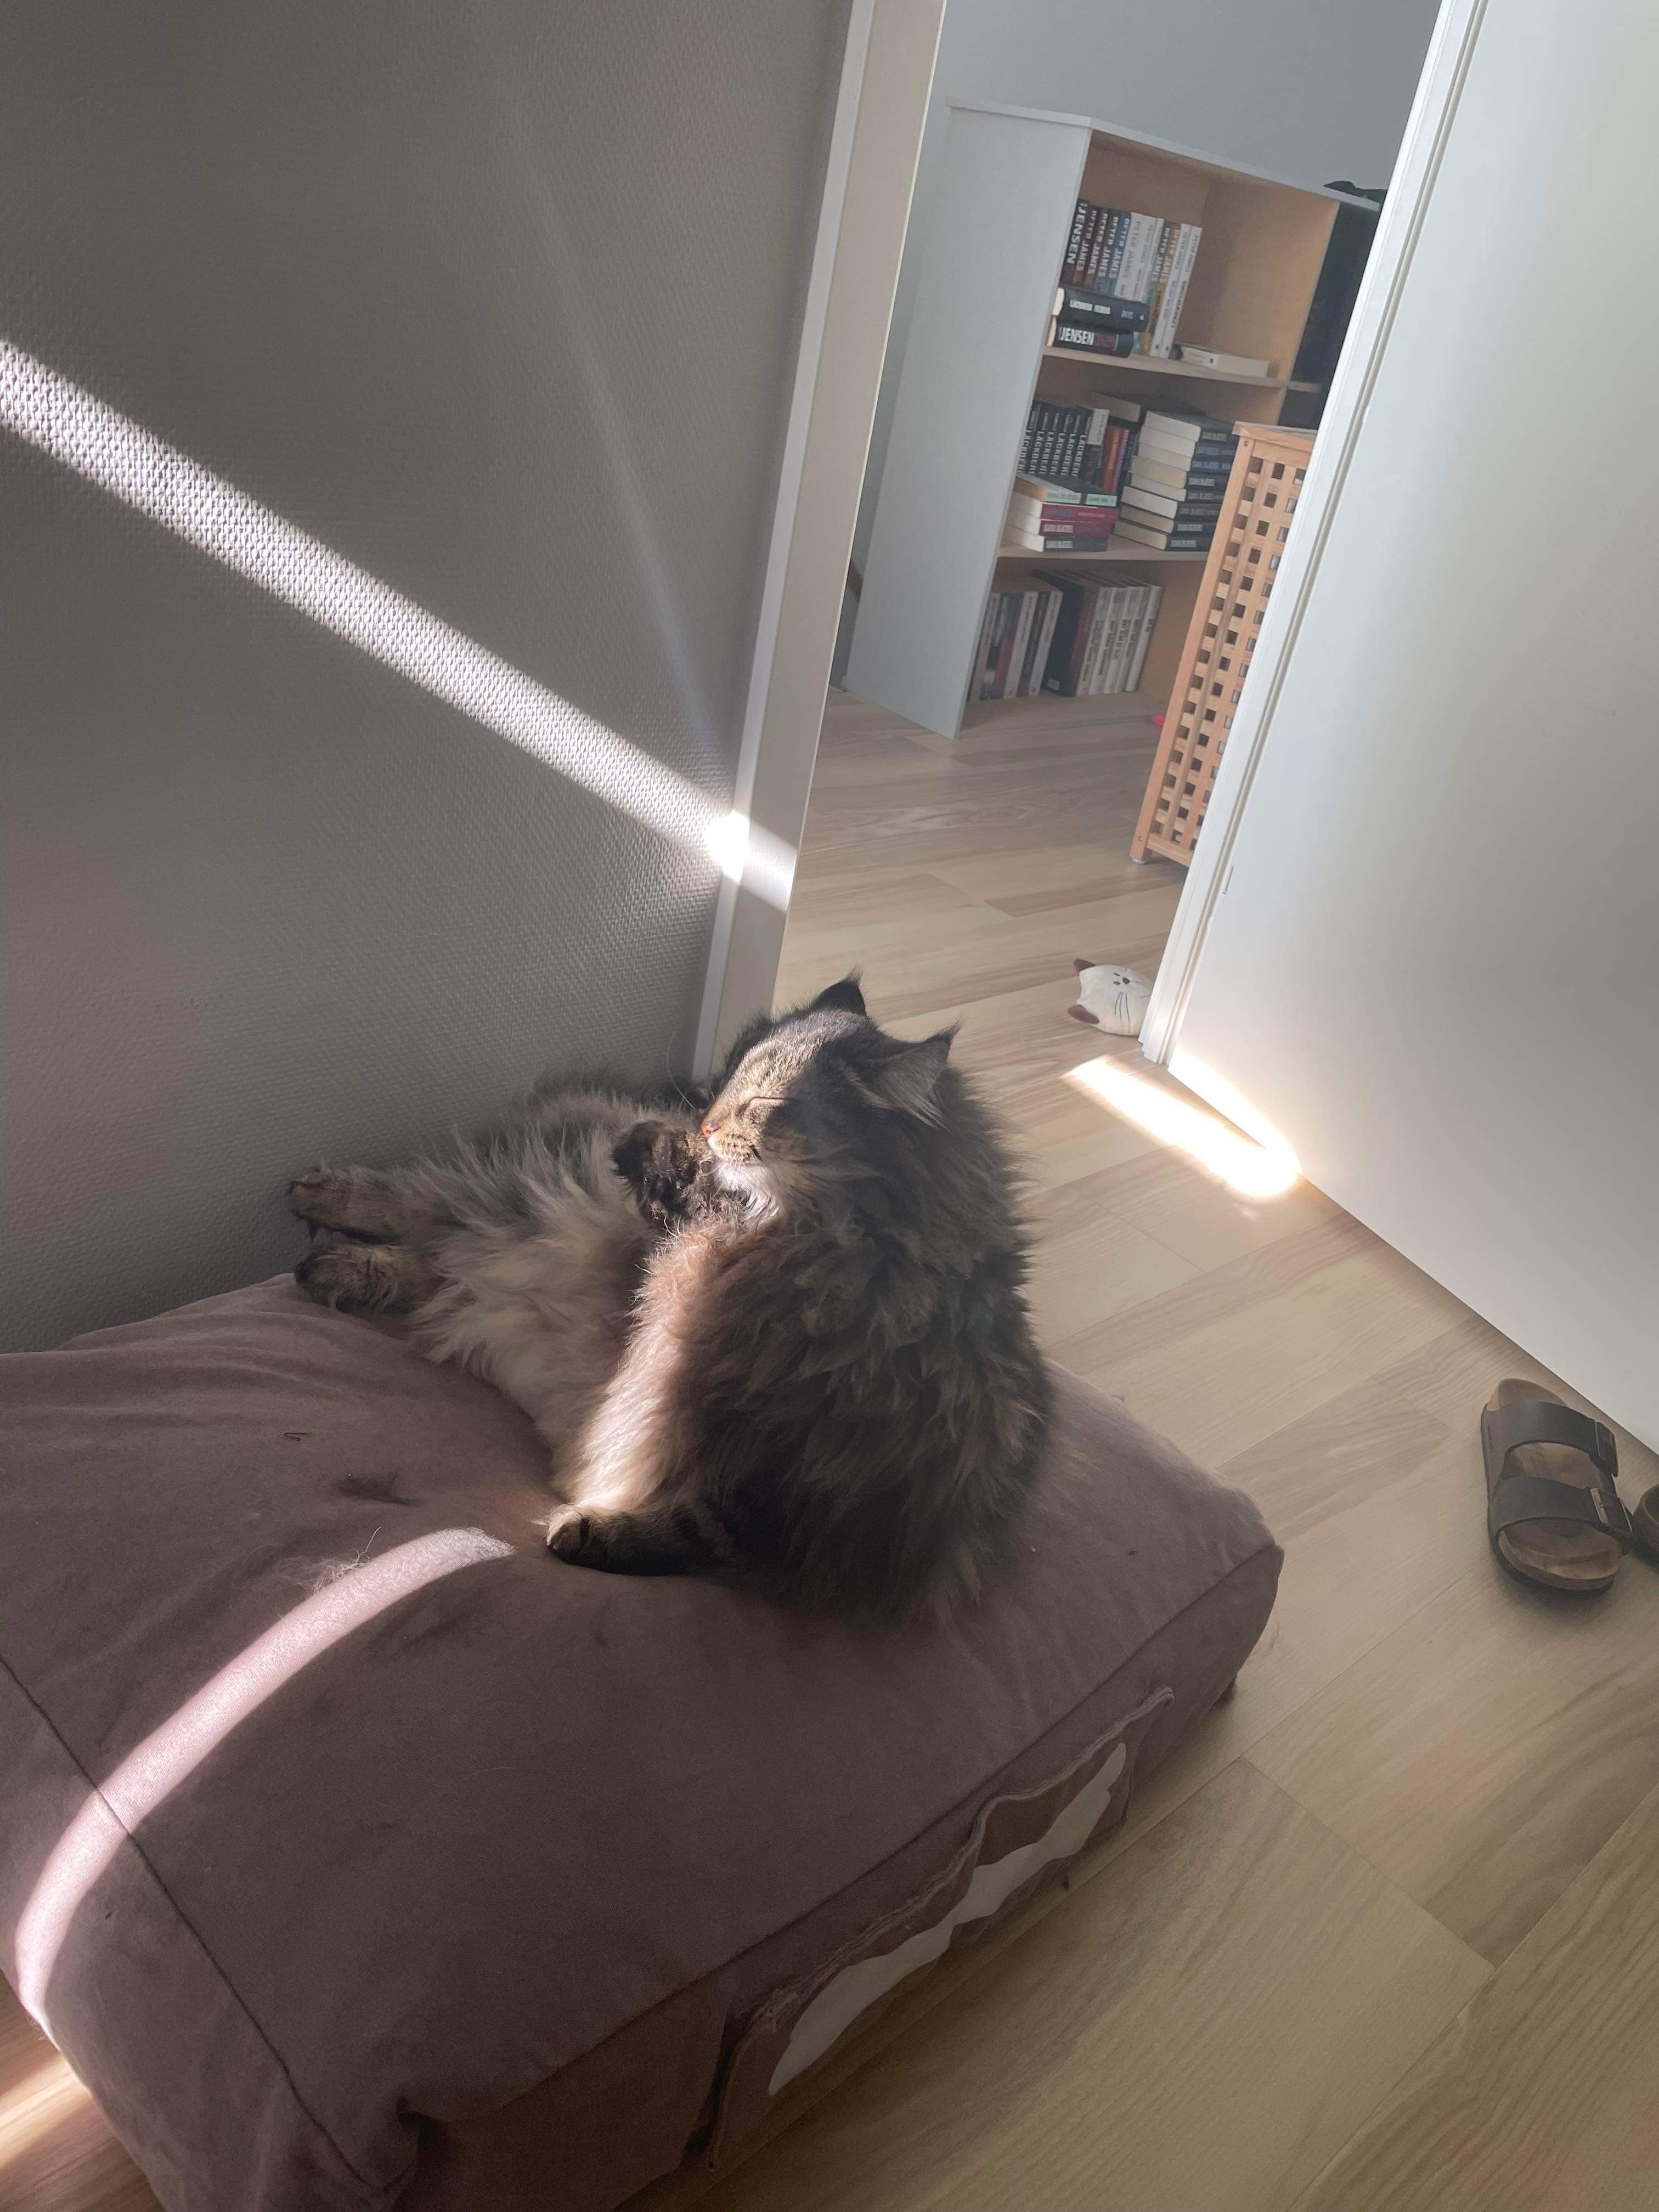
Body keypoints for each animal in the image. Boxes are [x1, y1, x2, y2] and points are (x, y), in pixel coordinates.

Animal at [289, 977, 1051, 1618]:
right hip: (511, 1200)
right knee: (416, 1207)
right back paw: (319, 1208)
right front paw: (654, 1146)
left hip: (492, 1243)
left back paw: (331, 1263)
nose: (704, 1120)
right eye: (728, 1080)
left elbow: (696, 1528)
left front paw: (589, 1531)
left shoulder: (798, 1496)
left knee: (432, 1253)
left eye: (766, 1103)